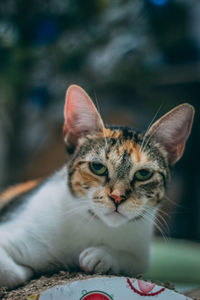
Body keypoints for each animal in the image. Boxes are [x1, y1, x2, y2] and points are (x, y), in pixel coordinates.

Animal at [0, 84, 195, 288]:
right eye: (97, 167)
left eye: (143, 174)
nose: (117, 197)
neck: (95, 226)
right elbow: (11, 273)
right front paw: (29, 271)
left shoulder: (141, 253)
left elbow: (132, 261)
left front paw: (102, 256)